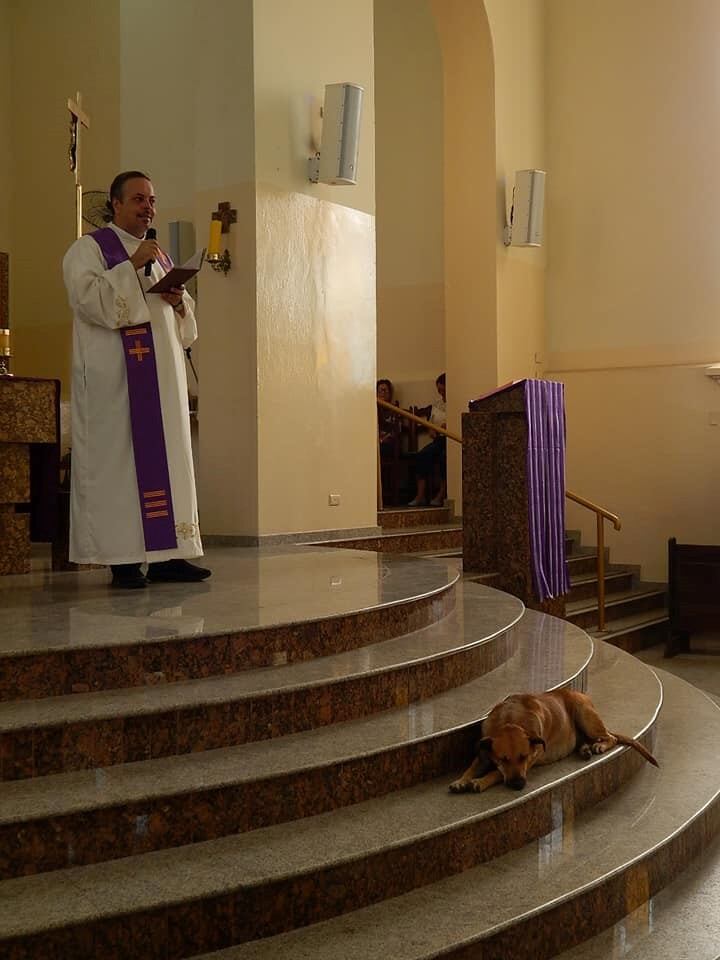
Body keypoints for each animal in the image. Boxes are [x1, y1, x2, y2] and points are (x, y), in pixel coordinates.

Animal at [450, 688, 660, 796]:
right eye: (503, 759)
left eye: (523, 757)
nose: (518, 784)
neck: (509, 720)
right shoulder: (484, 753)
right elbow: (473, 767)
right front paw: (461, 780)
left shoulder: (532, 758)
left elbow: (495, 773)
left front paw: (481, 781)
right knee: (587, 741)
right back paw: (585, 749)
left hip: (584, 714)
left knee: (611, 737)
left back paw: (599, 745)